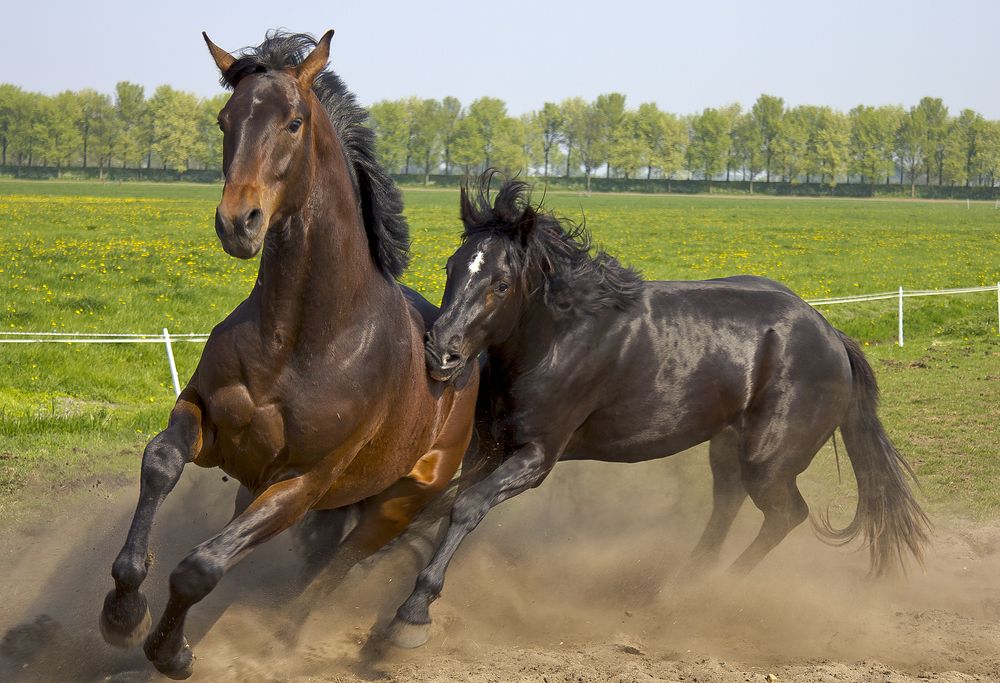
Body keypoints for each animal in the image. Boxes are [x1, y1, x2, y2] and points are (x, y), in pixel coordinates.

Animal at [99, 30, 478, 680]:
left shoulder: (301, 483)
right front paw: (122, 614)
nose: (238, 222)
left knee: (332, 574)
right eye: (225, 119)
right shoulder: (209, 424)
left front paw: (172, 651)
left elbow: (200, 566)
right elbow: (160, 463)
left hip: (398, 502)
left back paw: (312, 637)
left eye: (295, 123)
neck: (301, 339)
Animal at [384, 174, 928, 648]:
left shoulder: (536, 457)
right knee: (727, 504)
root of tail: (833, 335)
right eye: (452, 265)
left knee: (784, 515)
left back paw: (708, 594)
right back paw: (679, 586)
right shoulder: (489, 447)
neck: (556, 340)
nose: (440, 352)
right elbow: (435, 502)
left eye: (500, 283)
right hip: (727, 445)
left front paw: (411, 614)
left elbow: (466, 507)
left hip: (767, 461)